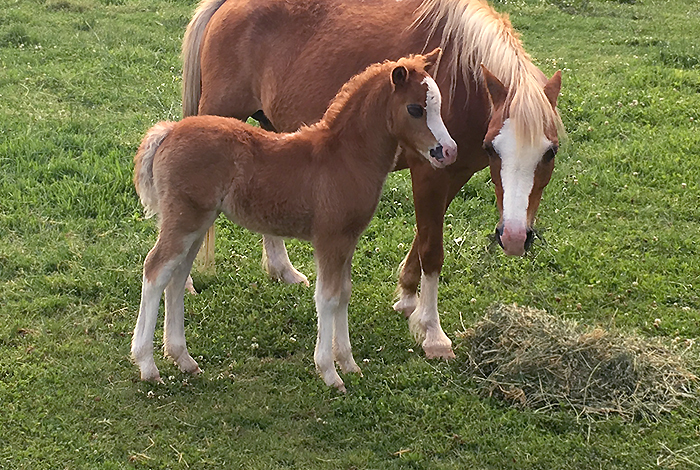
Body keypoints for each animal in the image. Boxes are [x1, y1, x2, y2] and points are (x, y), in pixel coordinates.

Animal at [131, 50, 458, 391]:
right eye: (415, 109)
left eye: (438, 105)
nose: (448, 151)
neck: (344, 157)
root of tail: (169, 131)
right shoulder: (330, 239)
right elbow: (327, 298)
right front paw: (329, 373)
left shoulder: (348, 240)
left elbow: (344, 294)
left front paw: (349, 363)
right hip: (185, 220)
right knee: (155, 270)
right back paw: (147, 365)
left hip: (198, 222)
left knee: (177, 277)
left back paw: (183, 359)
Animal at [182, 0, 564, 360]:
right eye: (492, 148)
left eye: (551, 152)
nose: (514, 238)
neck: (462, 78)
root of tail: (228, 6)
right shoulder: (430, 172)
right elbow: (432, 250)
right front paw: (432, 332)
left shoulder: (455, 173)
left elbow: (421, 241)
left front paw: (408, 298)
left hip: (269, 128)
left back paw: (283, 270)